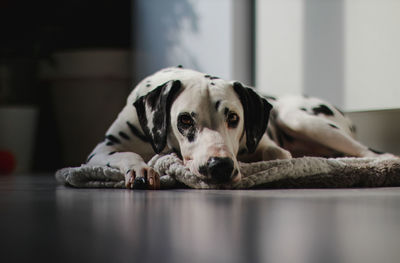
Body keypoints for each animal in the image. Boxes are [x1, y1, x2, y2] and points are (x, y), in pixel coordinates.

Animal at [86, 66, 390, 190]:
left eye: (233, 118)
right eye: (185, 120)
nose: (219, 166)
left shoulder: (266, 144)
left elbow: (277, 154)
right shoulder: (100, 151)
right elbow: (126, 154)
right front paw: (141, 169)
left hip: (300, 118)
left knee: (375, 154)